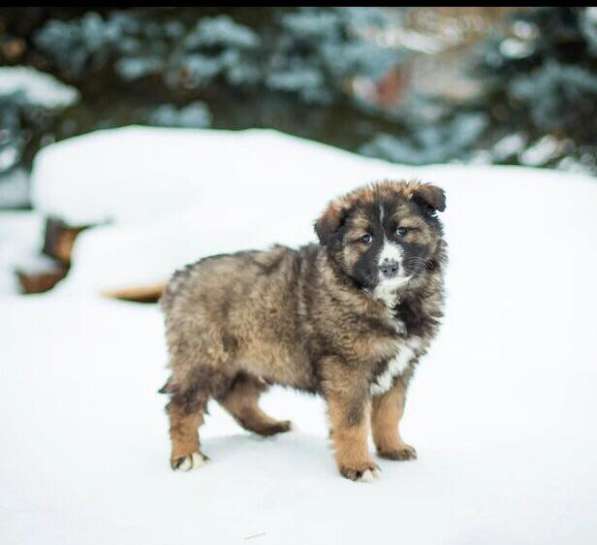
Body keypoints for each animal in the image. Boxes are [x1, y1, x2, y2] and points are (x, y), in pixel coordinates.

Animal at [159, 180, 448, 480]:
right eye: (366, 238)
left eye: (402, 231)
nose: (389, 266)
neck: (381, 297)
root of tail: (179, 279)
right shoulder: (348, 369)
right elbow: (352, 422)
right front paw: (358, 466)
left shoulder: (401, 366)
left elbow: (390, 412)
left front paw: (392, 447)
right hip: (205, 357)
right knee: (182, 404)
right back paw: (186, 454)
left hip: (257, 358)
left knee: (237, 397)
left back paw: (269, 426)